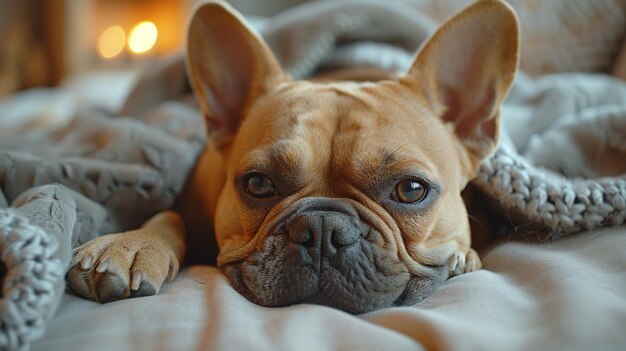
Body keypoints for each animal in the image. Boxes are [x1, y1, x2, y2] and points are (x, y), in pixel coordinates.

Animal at [66, 0, 520, 314]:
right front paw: (130, 244)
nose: (322, 229)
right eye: (257, 184)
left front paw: (464, 257)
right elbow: (168, 214)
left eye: (411, 190)